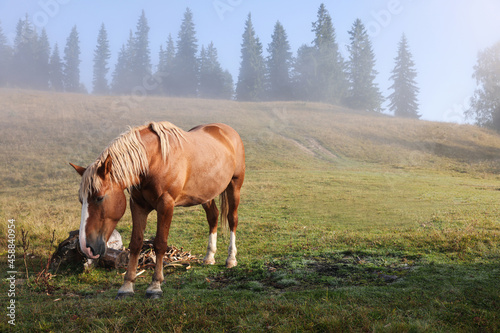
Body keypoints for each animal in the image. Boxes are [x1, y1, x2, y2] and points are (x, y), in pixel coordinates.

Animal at [69, 122, 245, 298]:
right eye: (81, 200)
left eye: (99, 197)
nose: (86, 247)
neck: (154, 161)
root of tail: (226, 129)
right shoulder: (137, 205)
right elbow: (136, 243)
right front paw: (127, 285)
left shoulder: (166, 205)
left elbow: (160, 243)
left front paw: (155, 285)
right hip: (205, 194)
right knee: (213, 217)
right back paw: (209, 257)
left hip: (234, 186)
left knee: (232, 219)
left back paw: (231, 259)